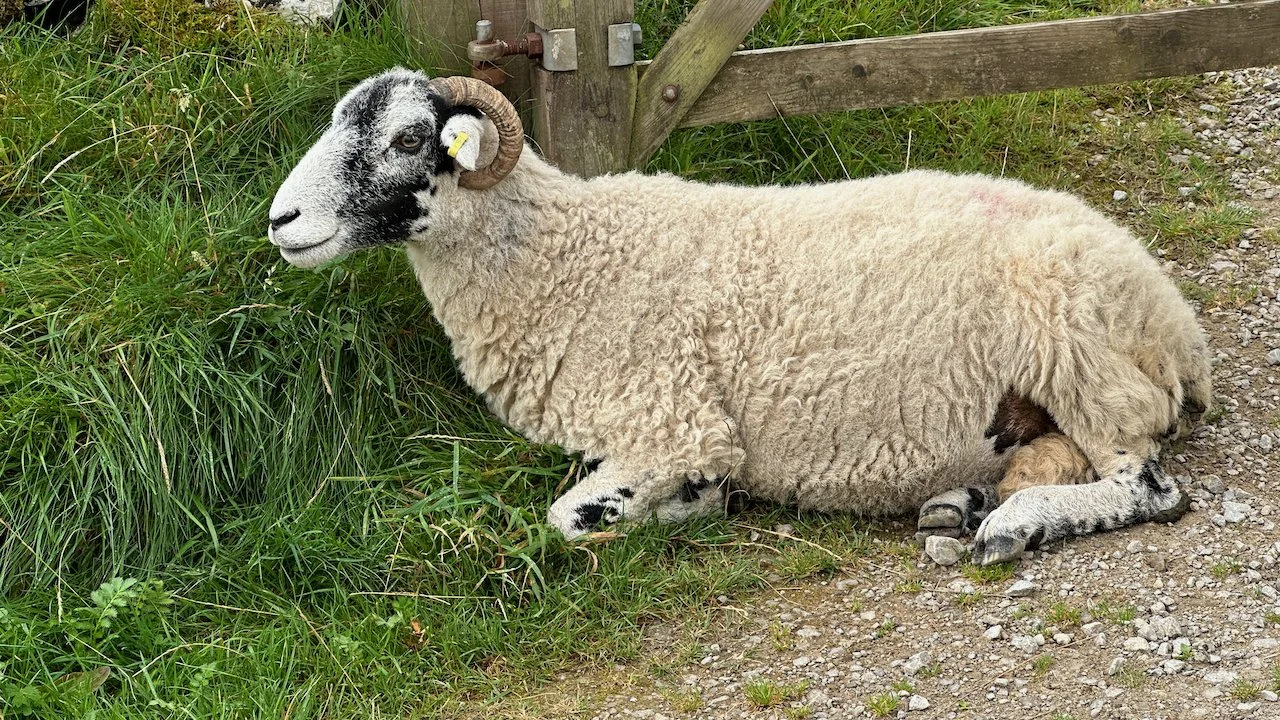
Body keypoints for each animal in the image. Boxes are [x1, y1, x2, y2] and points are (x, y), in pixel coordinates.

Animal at [268, 69, 1211, 565]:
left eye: (406, 140)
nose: (281, 222)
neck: (566, 256)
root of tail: (1178, 326)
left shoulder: (674, 422)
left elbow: (571, 519)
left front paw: (695, 503)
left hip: (1088, 357)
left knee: (1148, 488)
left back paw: (1013, 524)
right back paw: (963, 504)